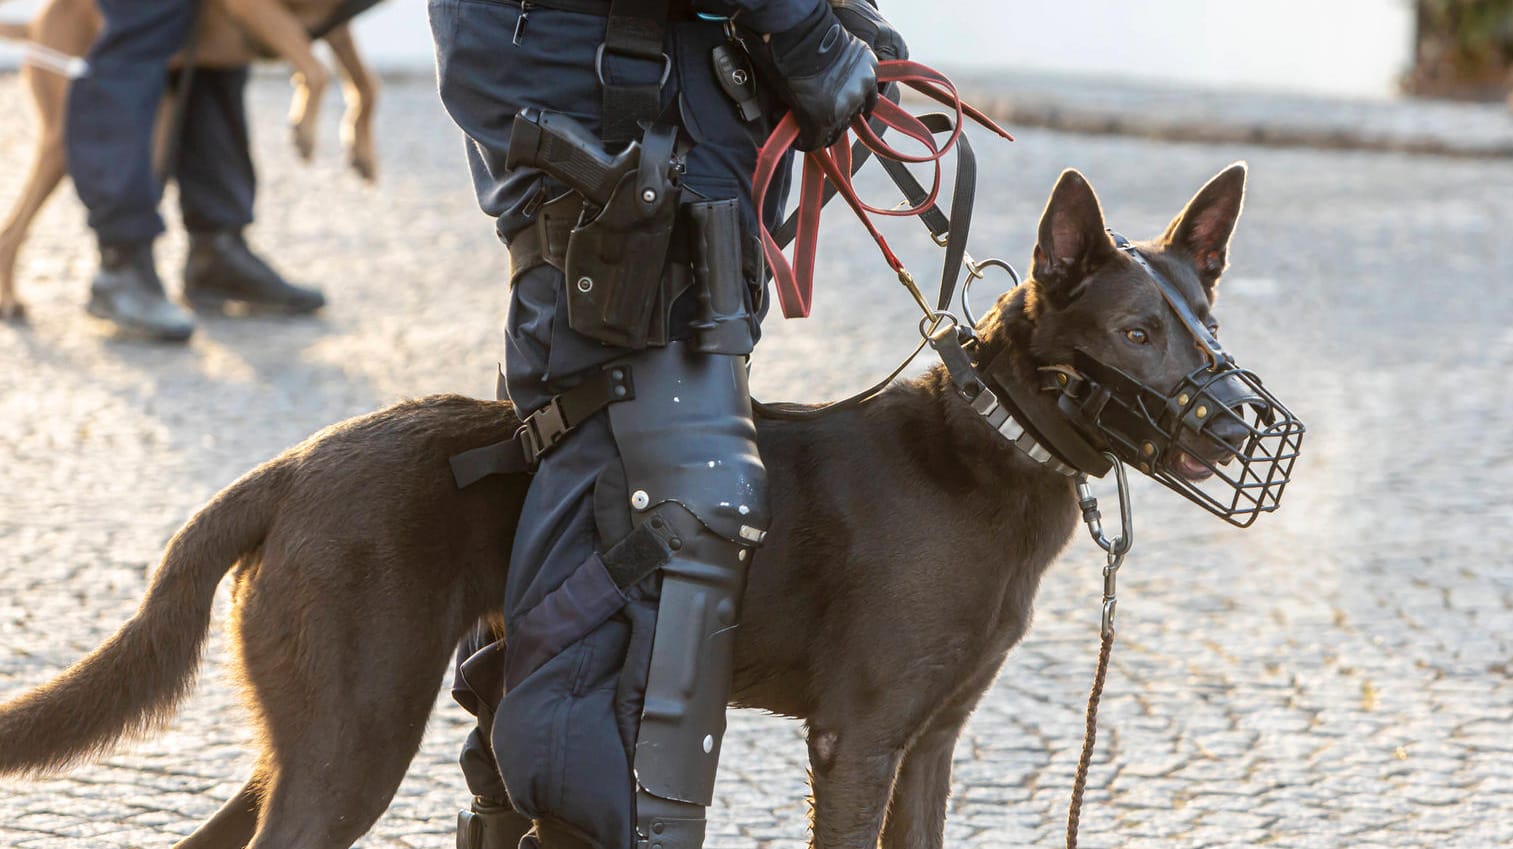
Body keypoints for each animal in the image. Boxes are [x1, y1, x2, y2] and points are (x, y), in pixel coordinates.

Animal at [1, 0, 378, 320]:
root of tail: (34, 23)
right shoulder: (253, 7)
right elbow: (318, 71)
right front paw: (305, 129)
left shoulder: (334, 25)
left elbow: (364, 82)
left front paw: (362, 153)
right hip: (68, 138)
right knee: (13, 228)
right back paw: (11, 300)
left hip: (159, 127)